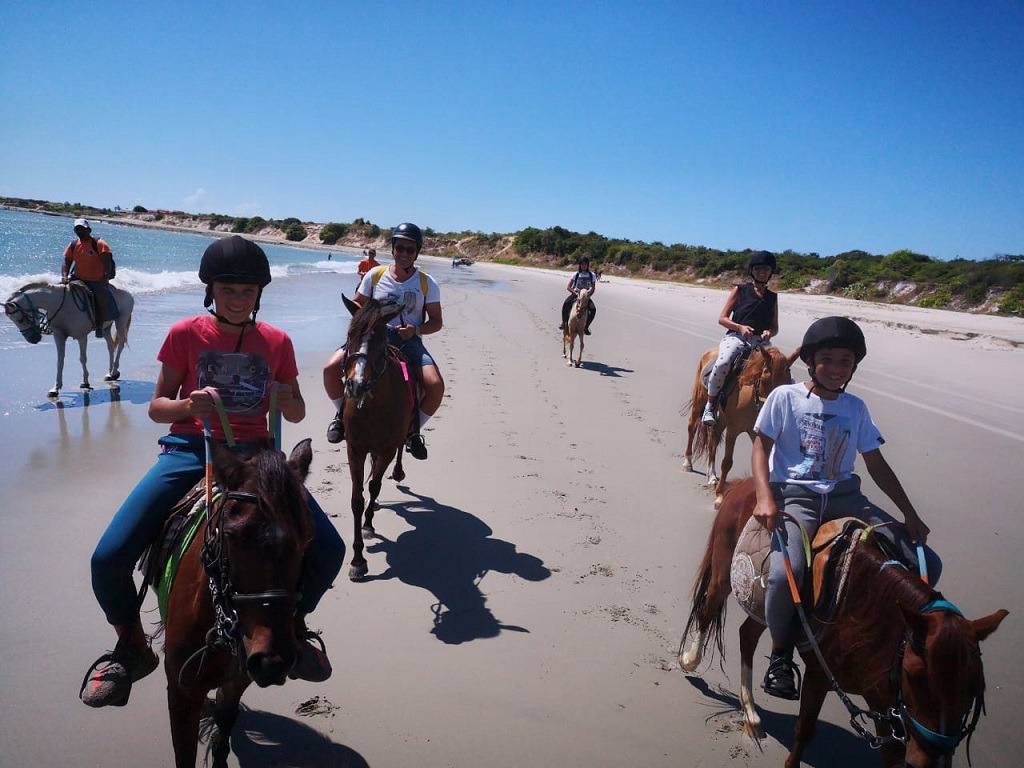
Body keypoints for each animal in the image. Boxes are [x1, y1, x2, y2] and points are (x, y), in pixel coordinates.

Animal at [4, 284, 134, 403]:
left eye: (20, 320)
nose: (33, 339)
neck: (60, 305)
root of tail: (127, 292)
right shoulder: (59, 337)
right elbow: (60, 361)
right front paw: (55, 388)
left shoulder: (82, 336)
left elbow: (82, 359)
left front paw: (85, 383)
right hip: (105, 328)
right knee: (111, 346)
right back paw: (109, 373)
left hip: (121, 321)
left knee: (121, 344)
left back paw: (114, 371)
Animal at [158, 438, 311, 768]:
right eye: (231, 535)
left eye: (308, 537)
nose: (272, 661)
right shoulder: (181, 693)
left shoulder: (239, 678)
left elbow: (224, 729)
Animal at [339, 296, 411, 581]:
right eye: (350, 335)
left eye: (381, 342)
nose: (356, 385)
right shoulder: (355, 448)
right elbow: (357, 499)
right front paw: (358, 559)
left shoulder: (387, 448)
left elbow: (374, 487)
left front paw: (368, 526)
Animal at [675, 481, 1003, 768]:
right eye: (915, 676)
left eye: (974, 689)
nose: (929, 764)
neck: (865, 606)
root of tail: (741, 484)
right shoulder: (819, 675)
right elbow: (804, 732)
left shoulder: (884, 701)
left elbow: (892, 756)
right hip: (724, 573)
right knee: (707, 611)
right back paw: (690, 661)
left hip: (764, 603)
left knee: (748, 635)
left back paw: (751, 715)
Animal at [679, 346, 798, 507]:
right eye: (764, 380)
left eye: (787, 384)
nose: (771, 411)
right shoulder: (733, 430)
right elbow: (727, 462)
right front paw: (720, 496)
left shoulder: (758, 435)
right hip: (699, 400)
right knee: (692, 427)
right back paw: (688, 463)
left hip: (722, 418)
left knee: (714, 439)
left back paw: (712, 477)